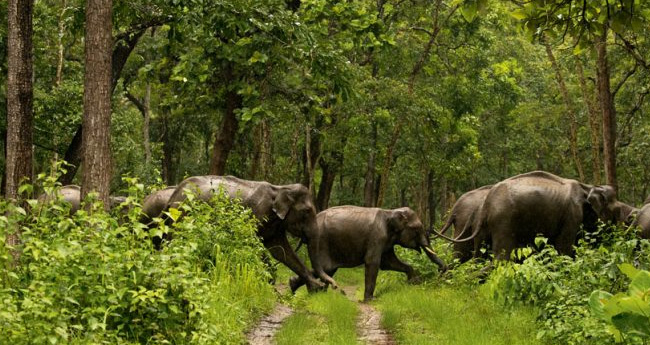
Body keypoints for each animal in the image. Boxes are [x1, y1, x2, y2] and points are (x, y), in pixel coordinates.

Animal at [166, 176, 330, 292]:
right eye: (307, 211)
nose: (326, 286)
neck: (280, 188)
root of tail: (174, 193)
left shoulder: (276, 226)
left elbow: (281, 251)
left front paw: (315, 287)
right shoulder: (256, 214)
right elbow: (253, 244)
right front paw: (270, 284)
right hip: (182, 215)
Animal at [288, 206, 446, 300]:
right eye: (417, 228)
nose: (442, 269)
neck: (390, 211)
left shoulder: (386, 242)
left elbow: (388, 263)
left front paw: (413, 282)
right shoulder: (377, 237)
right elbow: (373, 262)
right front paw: (369, 300)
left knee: (327, 270)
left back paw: (298, 288)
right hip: (321, 242)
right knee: (326, 268)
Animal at [440, 171, 632, 260]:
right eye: (616, 211)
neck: (588, 186)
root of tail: (487, 203)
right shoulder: (572, 216)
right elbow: (564, 249)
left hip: (485, 227)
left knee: (477, 258)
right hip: (503, 222)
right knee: (501, 259)